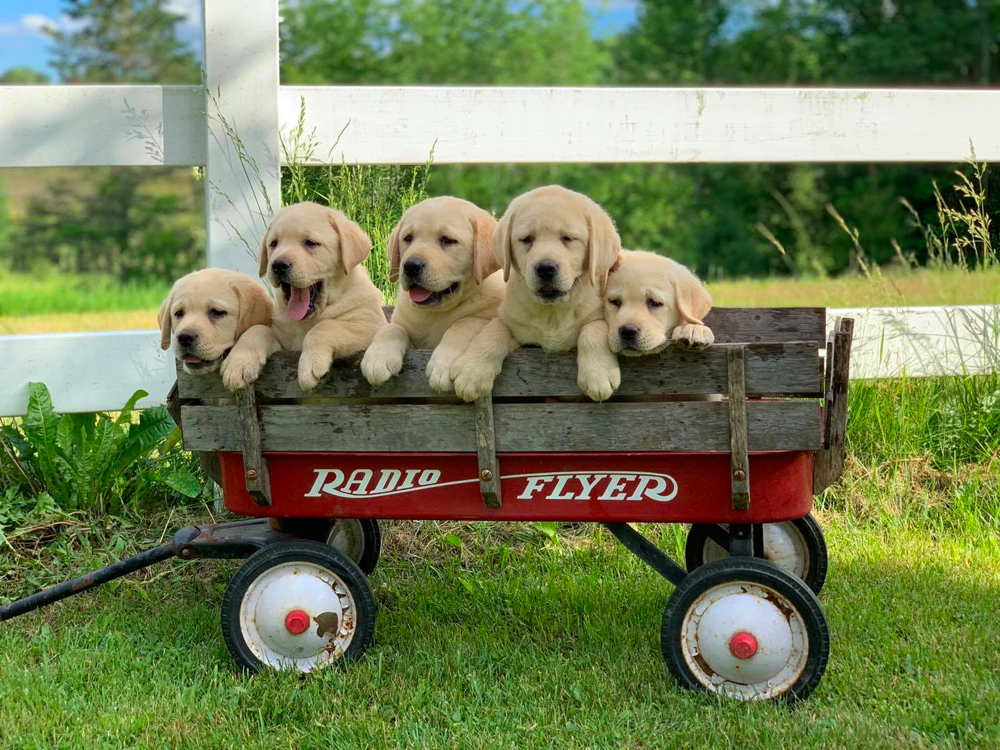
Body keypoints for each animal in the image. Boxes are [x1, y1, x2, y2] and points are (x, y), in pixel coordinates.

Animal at [222, 203, 386, 396]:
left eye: (311, 243)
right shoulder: (284, 345)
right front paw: (238, 364)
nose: (278, 265)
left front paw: (310, 365)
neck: (305, 322)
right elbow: (257, 329)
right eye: (273, 244)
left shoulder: (369, 325)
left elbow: (325, 326)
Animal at [360, 194, 504, 394]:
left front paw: (443, 366)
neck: (437, 314)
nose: (411, 266)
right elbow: (393, 328)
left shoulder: (488, 316)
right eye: (408, 238)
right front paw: (378, 357)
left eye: (447, 240)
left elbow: (463, 324)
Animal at [450, 185, 620, 402]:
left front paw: (598, 374)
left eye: (568, 238)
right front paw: (472, 371)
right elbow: (494, 328)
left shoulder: (596, 315)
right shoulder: (513, 322)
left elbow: (594, 328)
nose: (546, 268)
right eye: (527, 239)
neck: (552, 313)